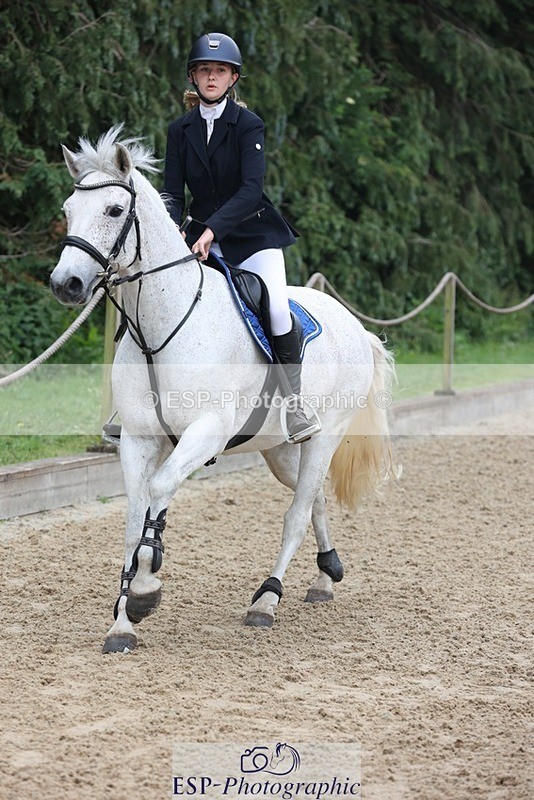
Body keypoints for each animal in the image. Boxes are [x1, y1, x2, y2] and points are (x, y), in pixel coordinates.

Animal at [49, 125, 397, 654]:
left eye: (113, 210)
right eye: (68, 210)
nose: (65, 284)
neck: (162, 326)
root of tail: (356, 326)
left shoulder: (206, 432)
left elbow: (159, 488)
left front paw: (145, 590)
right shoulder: (140, 439)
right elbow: (134, 517)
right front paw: (122, 622)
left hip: (326, 434)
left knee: (297, 514)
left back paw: (267, 600)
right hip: (279, 449)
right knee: (312, 496)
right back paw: (325, 575)